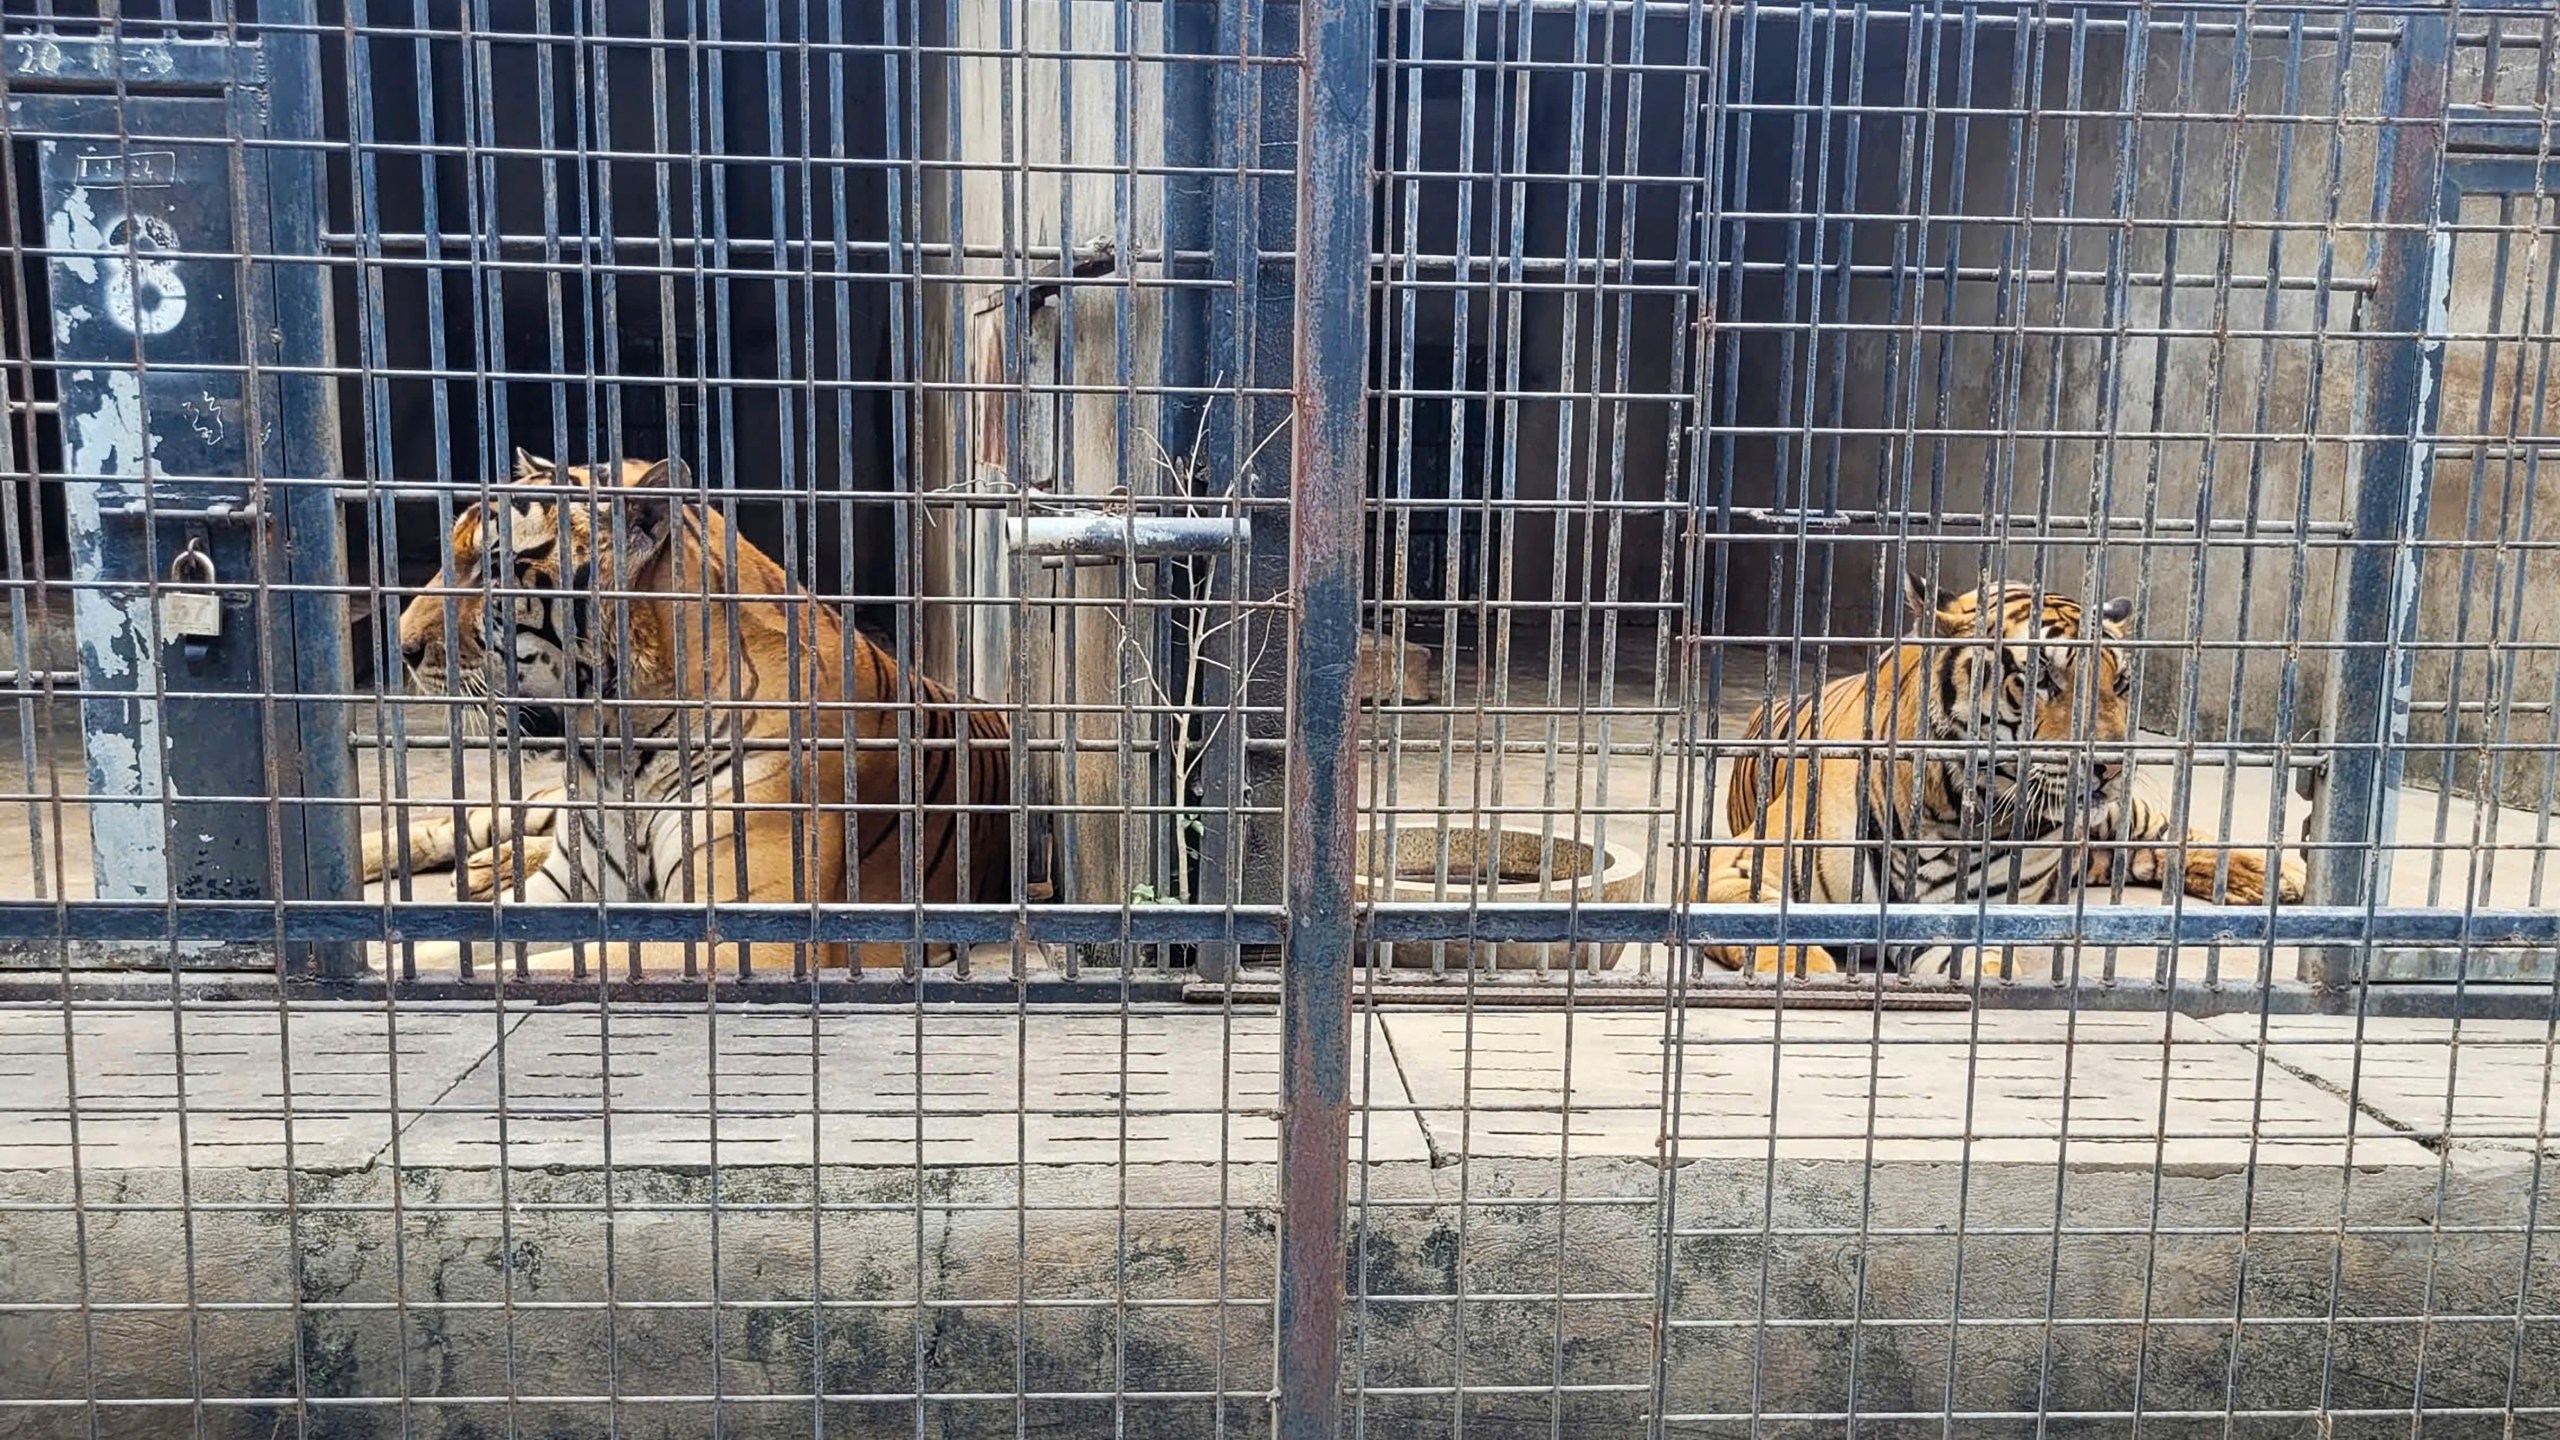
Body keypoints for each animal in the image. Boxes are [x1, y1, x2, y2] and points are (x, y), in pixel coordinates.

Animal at [363, 443, 1018, 968]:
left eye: (498, 566)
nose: (401, 647)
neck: (619, 755)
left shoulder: (748, 930)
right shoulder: (564, 893)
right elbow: (443, 953)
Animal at [1689, 571, 2314, 973]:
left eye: (2120, 684)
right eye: (2042, 680)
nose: (2112, 765)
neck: (1950, 809)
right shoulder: (1737, 871)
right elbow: (1792, 951)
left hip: (2119, 819)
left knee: (2169, 836)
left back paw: (2281, 876)